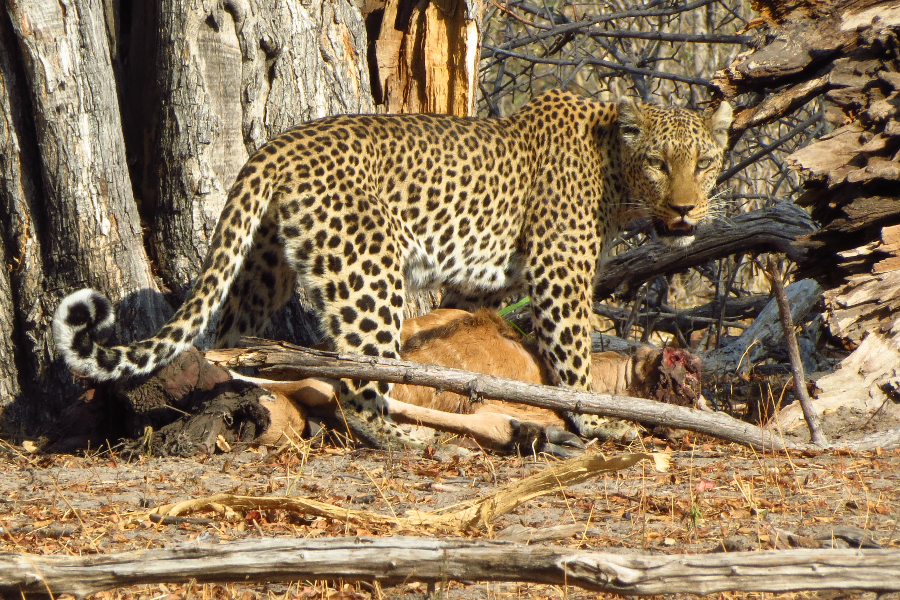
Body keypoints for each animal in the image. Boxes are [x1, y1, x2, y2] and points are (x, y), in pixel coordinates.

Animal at [52, 90, 732, 450]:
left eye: (704, 162)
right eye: (658, 163)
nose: (685, 208)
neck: (615, 173)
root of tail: (276, 145)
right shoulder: (560, 270)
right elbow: (571, 356)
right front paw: (595, 419)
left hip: (265, 266)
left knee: (229, 338)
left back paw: (236, 386)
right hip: (366, 270)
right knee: (359, 381)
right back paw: (401, 437)